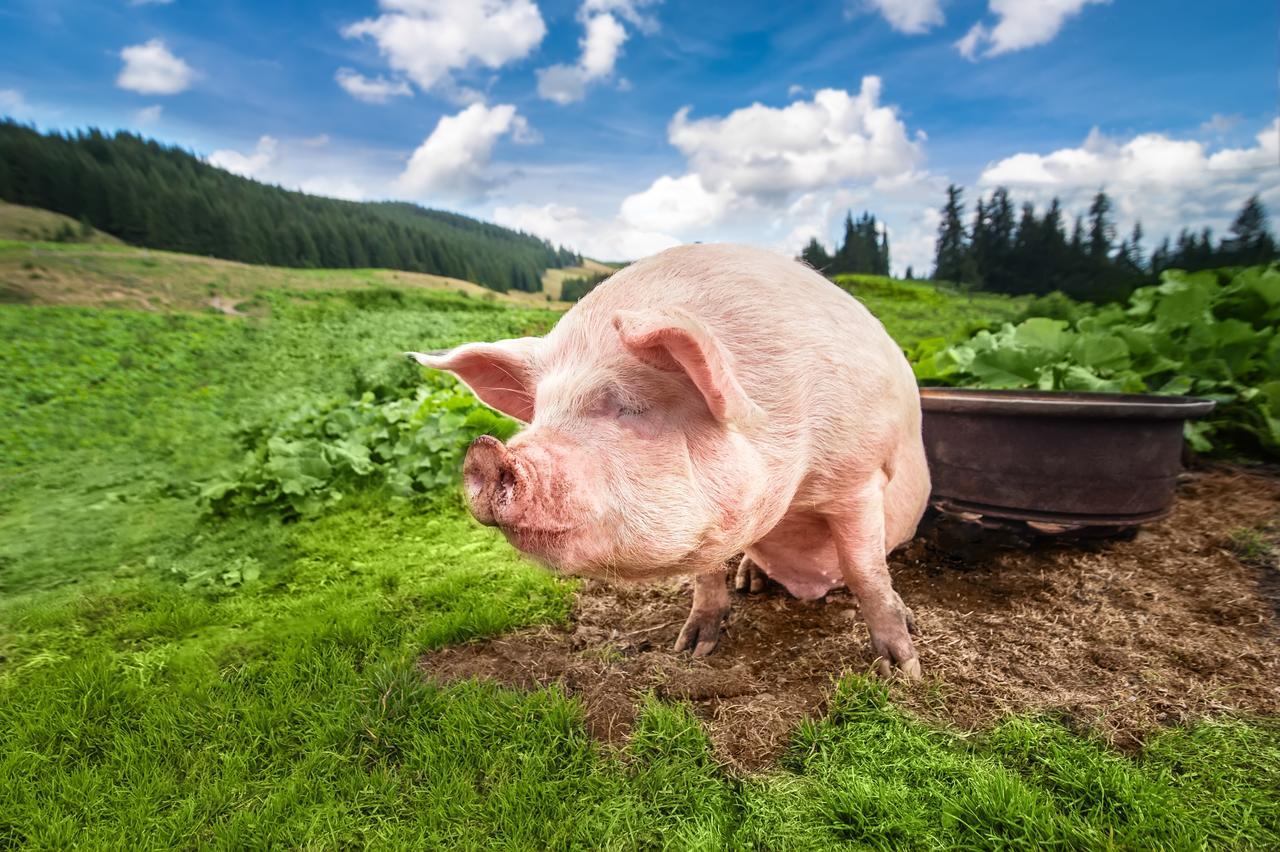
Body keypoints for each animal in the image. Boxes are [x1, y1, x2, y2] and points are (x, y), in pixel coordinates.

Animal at [409, 244, 931, 675]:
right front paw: (691, 650)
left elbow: (864, 570)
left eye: (630, 406)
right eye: (540, 413)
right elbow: (705, 576)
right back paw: (751, 582)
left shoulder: (858, 476)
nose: (486, 451)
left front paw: (902, 670)